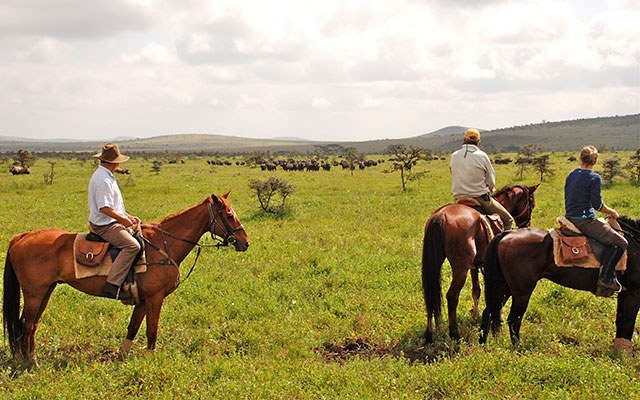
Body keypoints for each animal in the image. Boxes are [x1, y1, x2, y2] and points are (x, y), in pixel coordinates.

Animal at [3, 193, 249, 366]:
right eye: (229, 215)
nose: (245, 242)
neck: (163, 245)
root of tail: (21, 237)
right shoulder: (155, 298)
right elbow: (152, 330)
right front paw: (151, 358)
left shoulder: (142, 300)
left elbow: (133, 327)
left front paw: (122, 356)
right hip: (35, 293)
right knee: (26, 323)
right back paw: (29, 362)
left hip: (46, 290)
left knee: (32, 323)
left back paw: (30, 358)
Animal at [422, 184, 539, 343]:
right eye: (531, 204)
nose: (526, 225)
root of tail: (440, 216)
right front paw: (498, 319)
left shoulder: (474, 266)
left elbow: (476, 290)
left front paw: (475, 314)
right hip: (460, 268)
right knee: (452, 296)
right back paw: (455, 334)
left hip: (435, 264)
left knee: (430, 294)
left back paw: (429, 334)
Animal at [479, 216, 640, 354]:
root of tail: (509, 234)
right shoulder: (633, 293)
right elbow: (628, 321)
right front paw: (625, 354)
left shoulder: (625, 293)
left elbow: (620, 320)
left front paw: (619, 350)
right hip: (521, 292)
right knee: (513, 318)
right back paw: (518, 347)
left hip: (504, 287)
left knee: (489, 312)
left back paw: (483, 344)